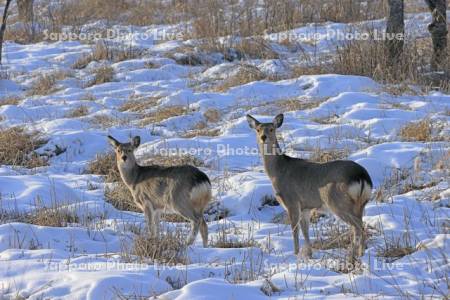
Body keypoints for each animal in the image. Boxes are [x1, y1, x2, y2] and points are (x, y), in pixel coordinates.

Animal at [246, 115, 372, 258]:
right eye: (258, 129)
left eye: (272, 129)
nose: (263, 137)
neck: (277, 172)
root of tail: (361, 176)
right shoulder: (305, 207)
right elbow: (305, 230)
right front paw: (309, 254)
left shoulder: (292, 201)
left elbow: (295, 230)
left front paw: (295, 254)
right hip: (360, 204)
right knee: (360, 225)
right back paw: (361, 254)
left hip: (338, 202)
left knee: (358, 227)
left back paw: (352, 255)